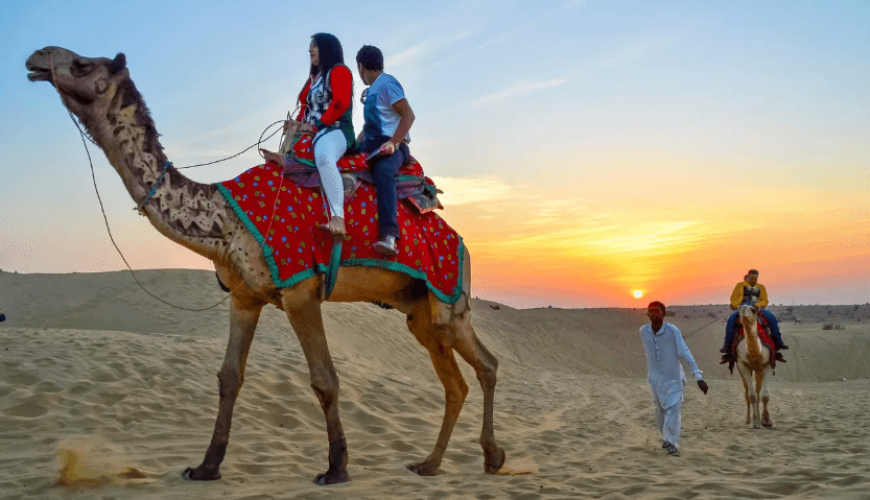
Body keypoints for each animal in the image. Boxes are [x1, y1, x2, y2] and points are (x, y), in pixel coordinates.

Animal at [23, 46, 508, 484]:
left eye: (82, 65)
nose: (36, 57)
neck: (225, 219)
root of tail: (461, 241)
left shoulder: (300, 290)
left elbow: (324, 379)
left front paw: (336, 469)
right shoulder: (245, 296)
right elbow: (229, 377)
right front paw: (206, 467)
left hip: (448, 297)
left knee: (485, 364)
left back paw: (490, 456)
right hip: (418, 310)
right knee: (458, 381)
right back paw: (432, 464)